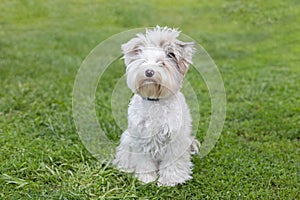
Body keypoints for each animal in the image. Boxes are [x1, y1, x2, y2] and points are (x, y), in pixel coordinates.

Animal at [112, 26, 199, 186]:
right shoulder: (141, 139)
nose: (149, 72)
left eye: (162, 63)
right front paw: (146, 179)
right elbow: (144, 162)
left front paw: (170, 180)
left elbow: (172, 162)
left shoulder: (175, 140)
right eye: (143, 62)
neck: (155, 100)